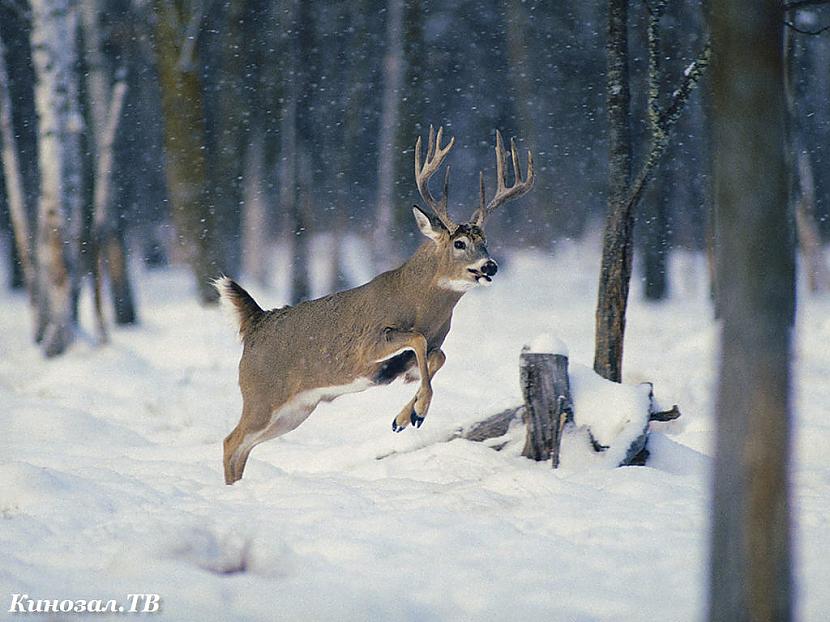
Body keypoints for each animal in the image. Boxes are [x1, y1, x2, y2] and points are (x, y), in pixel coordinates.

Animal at [218, 128, 536, 488]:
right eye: (459, 243)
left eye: (485, 242)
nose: (490, 265)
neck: (419, 304)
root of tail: (256, 321)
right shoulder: (366, 346)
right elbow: (418, 340)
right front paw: (418, 412)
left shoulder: (423, 354)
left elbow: (437, 356)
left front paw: (405, 417)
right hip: (261, 395)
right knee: (231, 441)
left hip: (295, 411)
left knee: (244, 447)